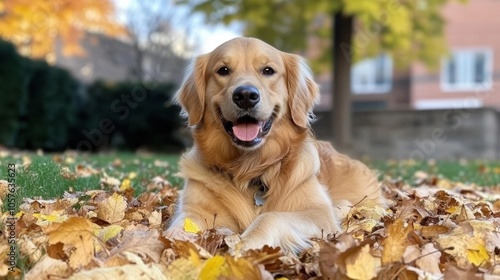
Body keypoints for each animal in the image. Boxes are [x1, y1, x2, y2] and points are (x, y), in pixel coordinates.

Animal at [166, 36, 384, 252]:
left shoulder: (320, 213)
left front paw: (245, 245)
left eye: (268, 70)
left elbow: (270, 216)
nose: (245, 96)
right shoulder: (193, 210)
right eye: (223, 70)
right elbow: (177, 230)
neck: (250, 169)